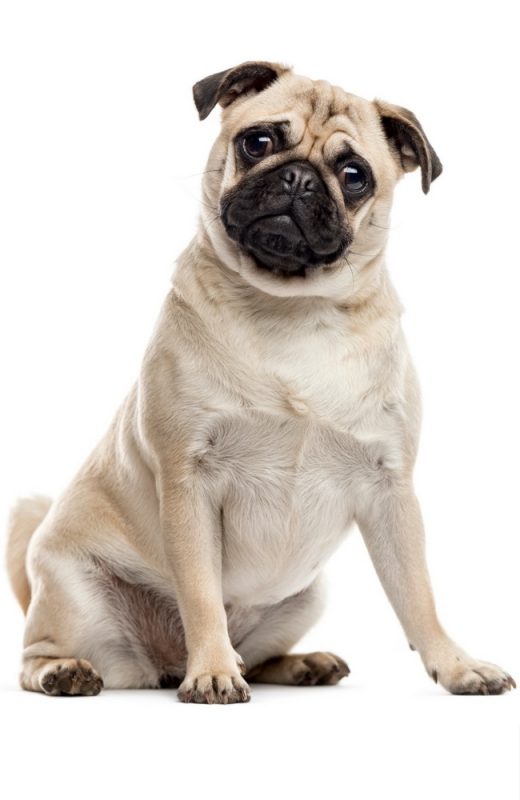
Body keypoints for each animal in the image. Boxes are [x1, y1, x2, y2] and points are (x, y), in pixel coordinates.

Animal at [6, 62, 512, 700]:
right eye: (259, 142)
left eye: (354, 176)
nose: (298, 178)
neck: (291, 310)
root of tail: (163, 663)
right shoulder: (189, 481)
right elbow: (201, 594)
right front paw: (212, 671)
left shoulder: (391, 490)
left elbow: (418, 596)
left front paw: (456, 665)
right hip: (74, 596)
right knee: (36, 652)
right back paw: (70, 670)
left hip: (306, 596)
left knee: (260, 654)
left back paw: (301, 663)